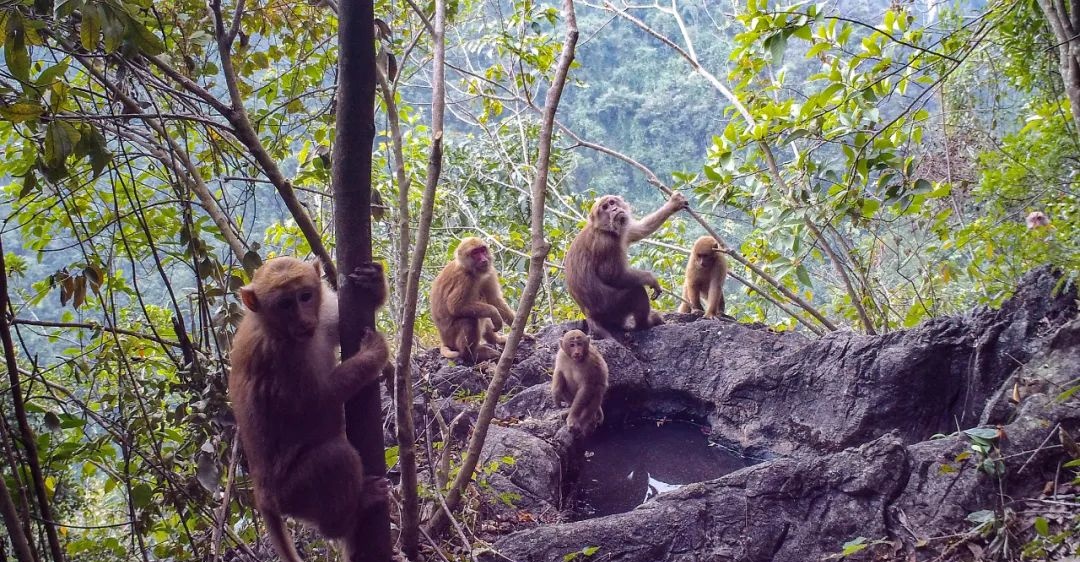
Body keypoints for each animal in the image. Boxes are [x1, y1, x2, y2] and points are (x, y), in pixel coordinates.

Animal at [227, 258, 393, 562]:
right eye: (284, 304)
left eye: (304, 296)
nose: (304, 321)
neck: (275, 329)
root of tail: (262, 494)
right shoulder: (281, 359)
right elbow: (315, 404)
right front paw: (374, 354)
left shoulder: (320, 317)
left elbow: (337, 322)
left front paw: (373, 282)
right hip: (295, 492)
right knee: (335, 457)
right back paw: (348, 516)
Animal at [561, 192, 686, 337]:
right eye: (605, 207)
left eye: (612, 202)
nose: (614, 209)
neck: (603, 229)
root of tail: (589, 315)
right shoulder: (606, 244)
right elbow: (612, 276)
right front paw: (651, 279)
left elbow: (638, 230)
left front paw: (674, 203)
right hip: (612, 309)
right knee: (636, 291)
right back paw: (644, 324)